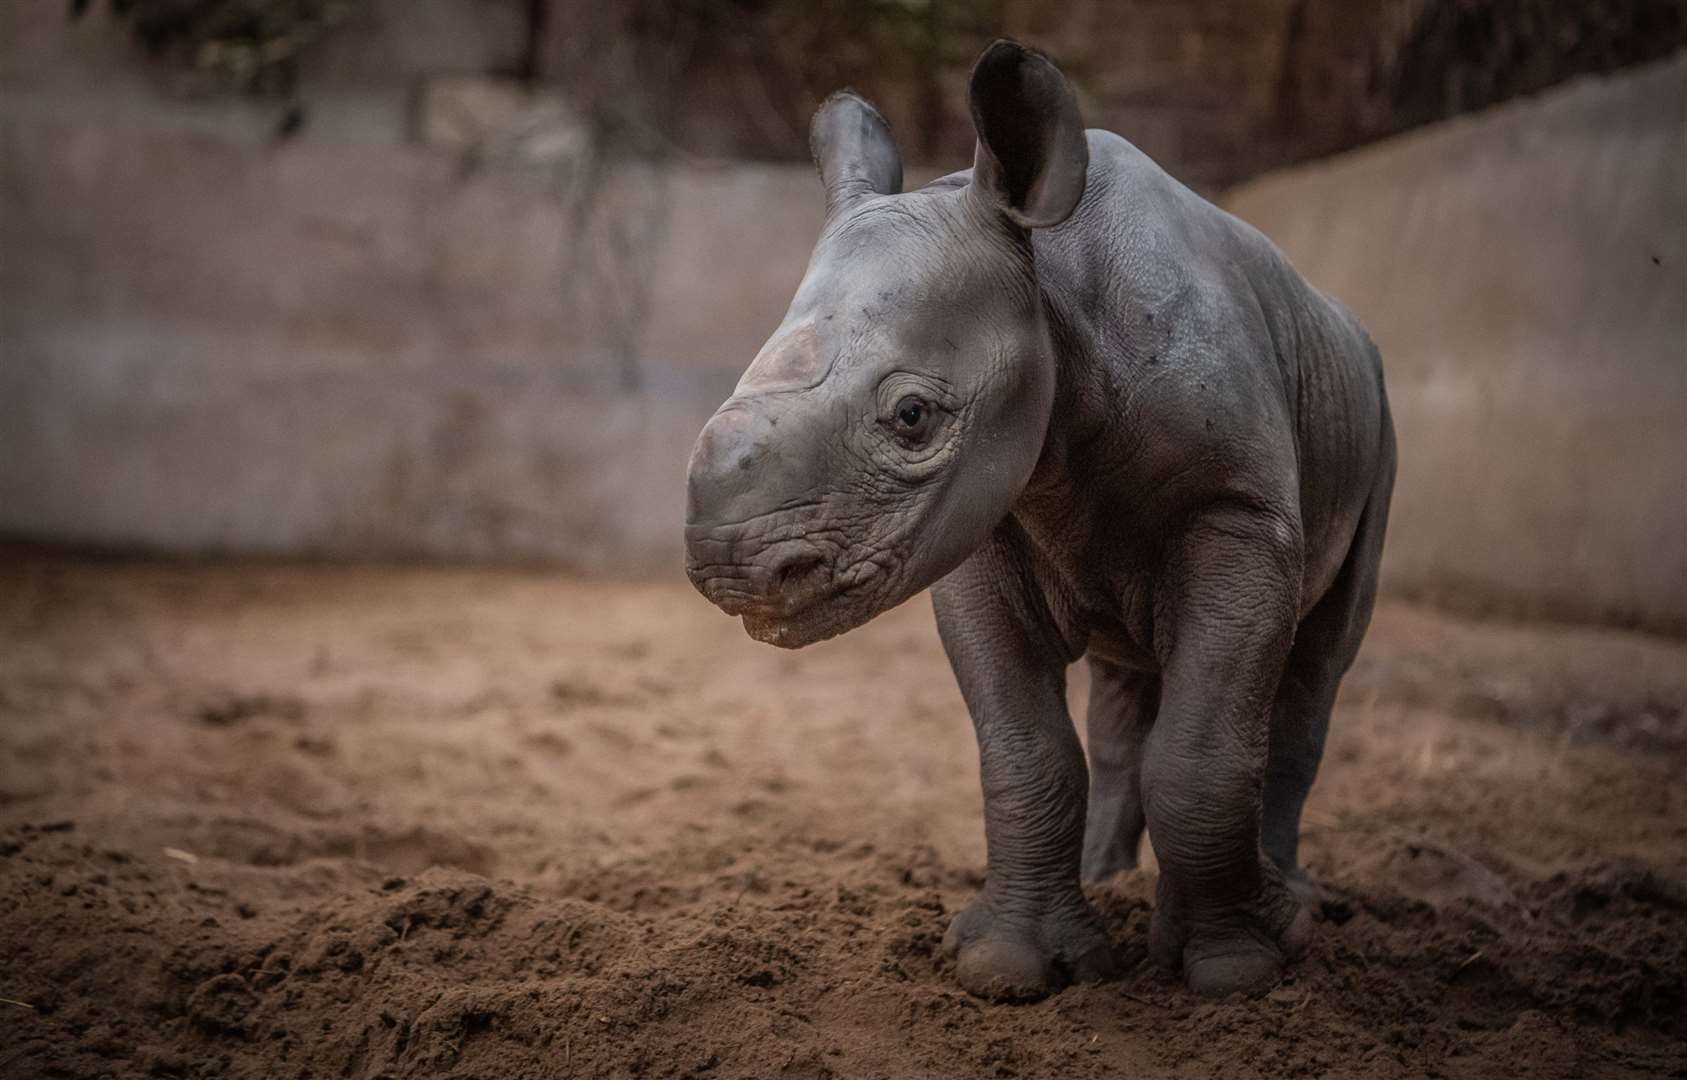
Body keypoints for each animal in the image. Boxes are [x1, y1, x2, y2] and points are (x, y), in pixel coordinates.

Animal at [684, 42, 1396, 1005]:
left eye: (912, 417)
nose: (732, 569)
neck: (1053, 292)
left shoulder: (1238, 512)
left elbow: (1206, 748)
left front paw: (1236, 969)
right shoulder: (981, 525)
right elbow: (1025, 750)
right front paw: (1013, 967)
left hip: (1374, 417)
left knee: (1316, 667)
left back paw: (1295, 906)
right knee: (1125, 683)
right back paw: (1109, 879)